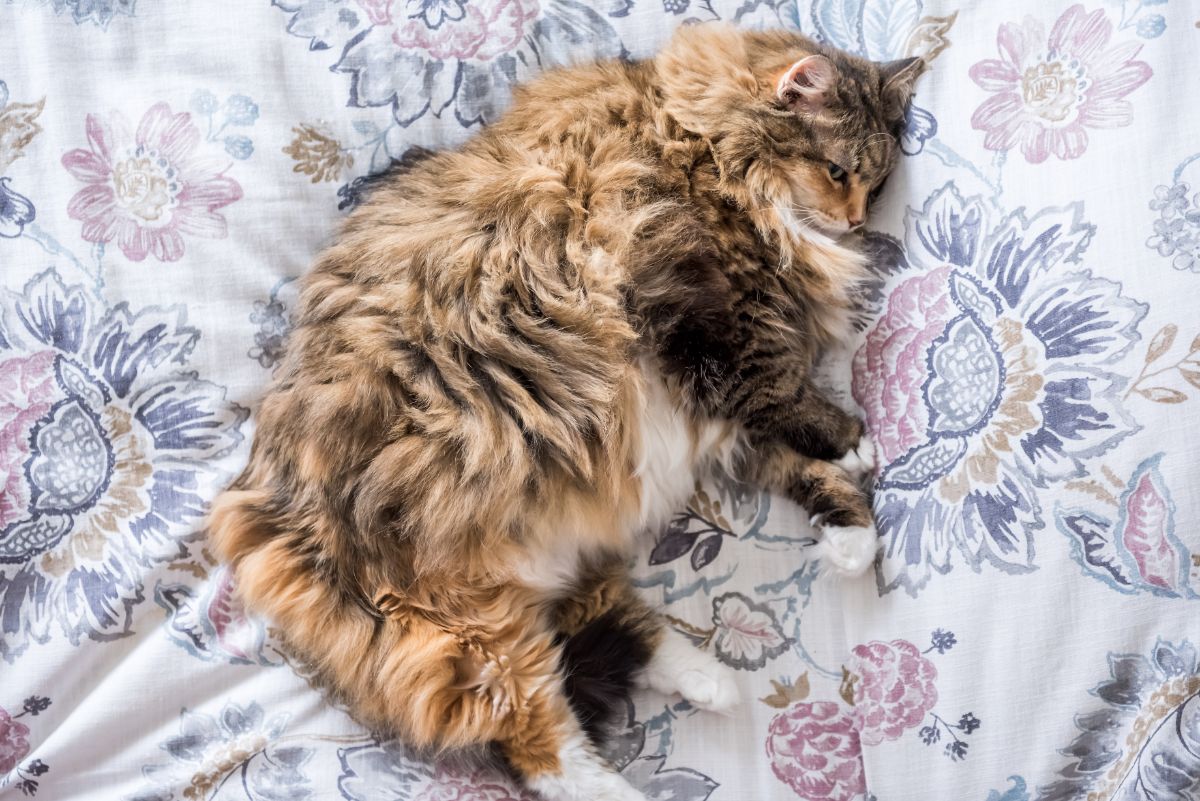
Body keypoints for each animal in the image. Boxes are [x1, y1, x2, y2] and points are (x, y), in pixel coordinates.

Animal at [208, 23, 916, 801]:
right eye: (838, 170)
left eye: (877, 183)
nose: (857, 219)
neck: (694, 137)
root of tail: (260, 520)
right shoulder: (710, 328)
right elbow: (790, 401)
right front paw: (857, 445)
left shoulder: (711, 408)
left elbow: (796, 460)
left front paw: (851, 540)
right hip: (462, 634)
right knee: (539, 744)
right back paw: (635, 770)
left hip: (537, 577)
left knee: (601, 623)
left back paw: (709, 680)